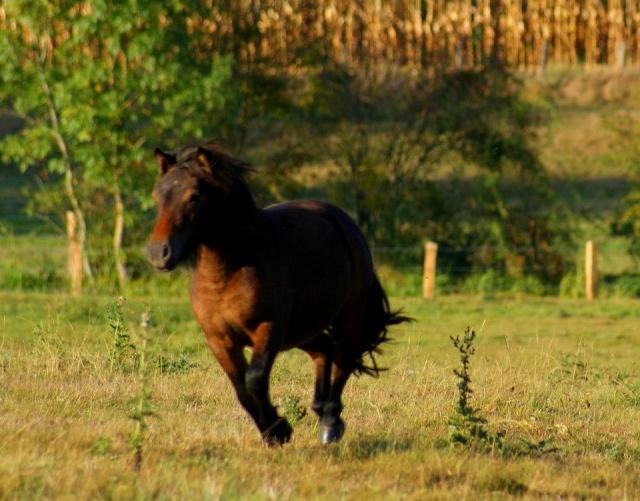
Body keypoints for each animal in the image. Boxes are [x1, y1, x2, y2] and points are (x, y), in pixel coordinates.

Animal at [146, 143, 410, 444]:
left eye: (194, 197)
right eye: (156, 195)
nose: (158, 252)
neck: (228, 273)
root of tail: (344, 222)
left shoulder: (269, 328)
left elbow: (255, 379)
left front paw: (278, 430)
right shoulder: (219, 339)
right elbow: (241, 389)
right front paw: (273, 430)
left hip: (347, 317)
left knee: (343, 360)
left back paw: (330, 422)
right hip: (301, 329)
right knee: (324, 349)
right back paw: (320, 408)